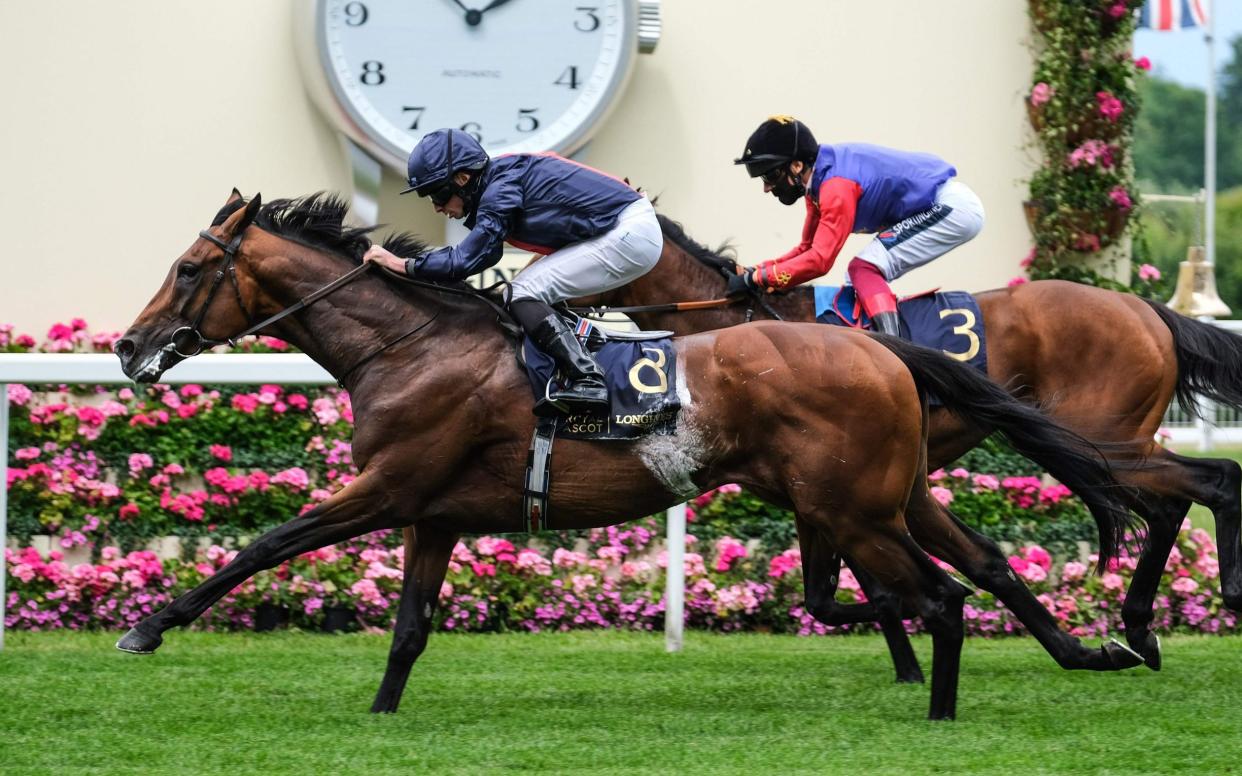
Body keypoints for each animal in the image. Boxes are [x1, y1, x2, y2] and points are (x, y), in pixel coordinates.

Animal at [114, 192, 1142, 720]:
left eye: (191, 269)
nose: (128, 346)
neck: (409, 345)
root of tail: (881, 348)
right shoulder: (432, 514)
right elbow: (408, 628)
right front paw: (380, 715)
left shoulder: (387, 486)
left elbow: (263, 546)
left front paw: (147, 628)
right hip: (884, 497)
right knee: (973, 571)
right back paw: (1092, 652)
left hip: (852, 508)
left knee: (940, 596)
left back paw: (943, 709)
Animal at [568, 214, 1242, 675]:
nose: (565, 317)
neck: (730, 334)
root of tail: (1148, 309)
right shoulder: (840, 488)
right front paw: (914, 656)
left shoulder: (841, 483)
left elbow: (875, 581)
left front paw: (912, 660)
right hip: (1095, 445)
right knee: (1168, 503)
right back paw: (1144, 628)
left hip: (1098, 436)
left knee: (1208, 481)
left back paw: (1210, 599)